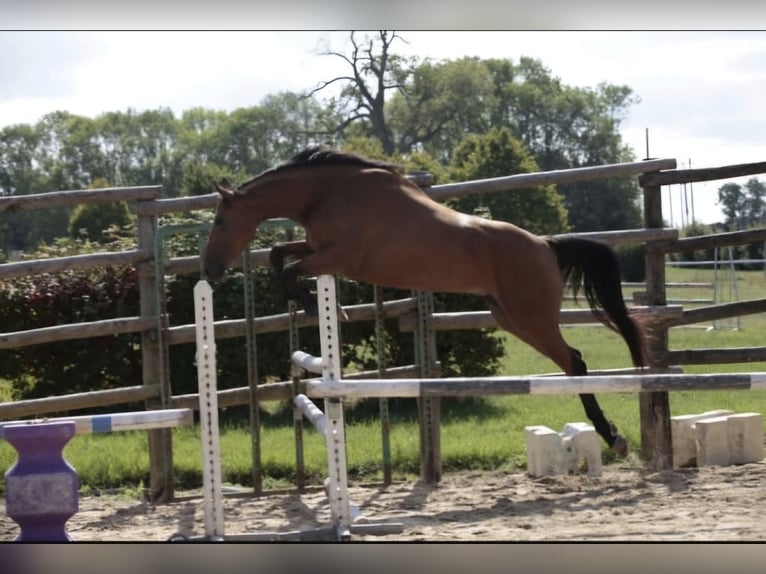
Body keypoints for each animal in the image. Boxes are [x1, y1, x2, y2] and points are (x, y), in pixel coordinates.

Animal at [202, 148, 648, 460]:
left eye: (221, 222)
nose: (209, 270)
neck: (329, 194)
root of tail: (544, 245)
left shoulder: (338, 257)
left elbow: (288, 269)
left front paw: (318, 305)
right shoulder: (316, 248)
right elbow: (280, 254)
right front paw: (314, 304)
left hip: (531, 317)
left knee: (575, 362)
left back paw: (613, 437)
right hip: (510, 318)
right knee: (571, 361)